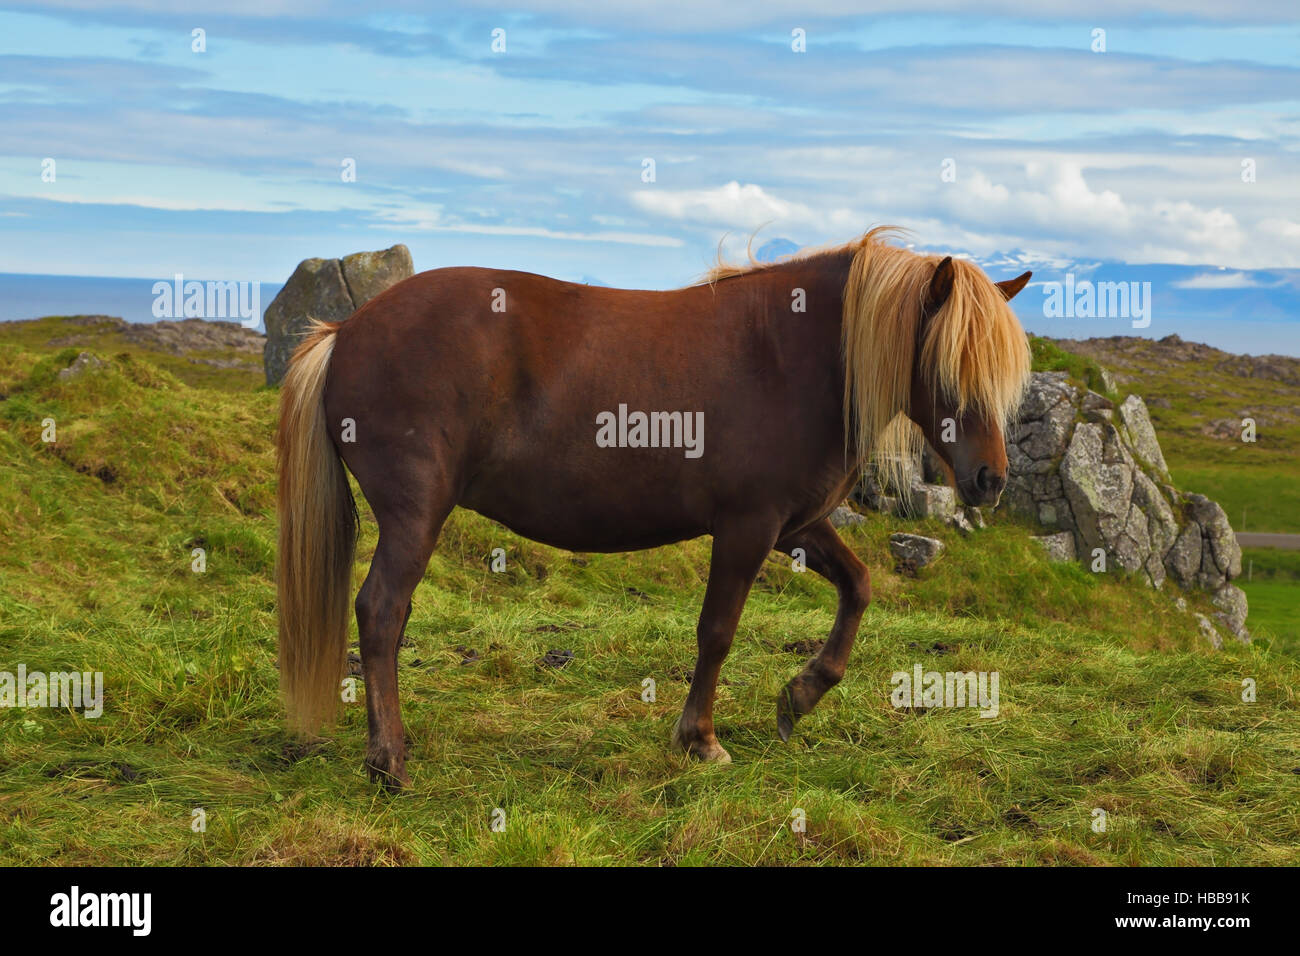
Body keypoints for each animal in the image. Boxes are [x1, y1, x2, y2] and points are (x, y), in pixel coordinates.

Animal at [279, 227, 1029, 790]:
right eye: (949, 365)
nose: (991, 480)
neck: (790, 356)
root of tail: (346, 331)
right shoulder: (747, 527)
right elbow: (717, 631)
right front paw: (699, 739)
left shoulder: (797, 525)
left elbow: (860, 586)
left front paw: (802, 693)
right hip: (416, 515)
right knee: (381, 613)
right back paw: (389, 761)